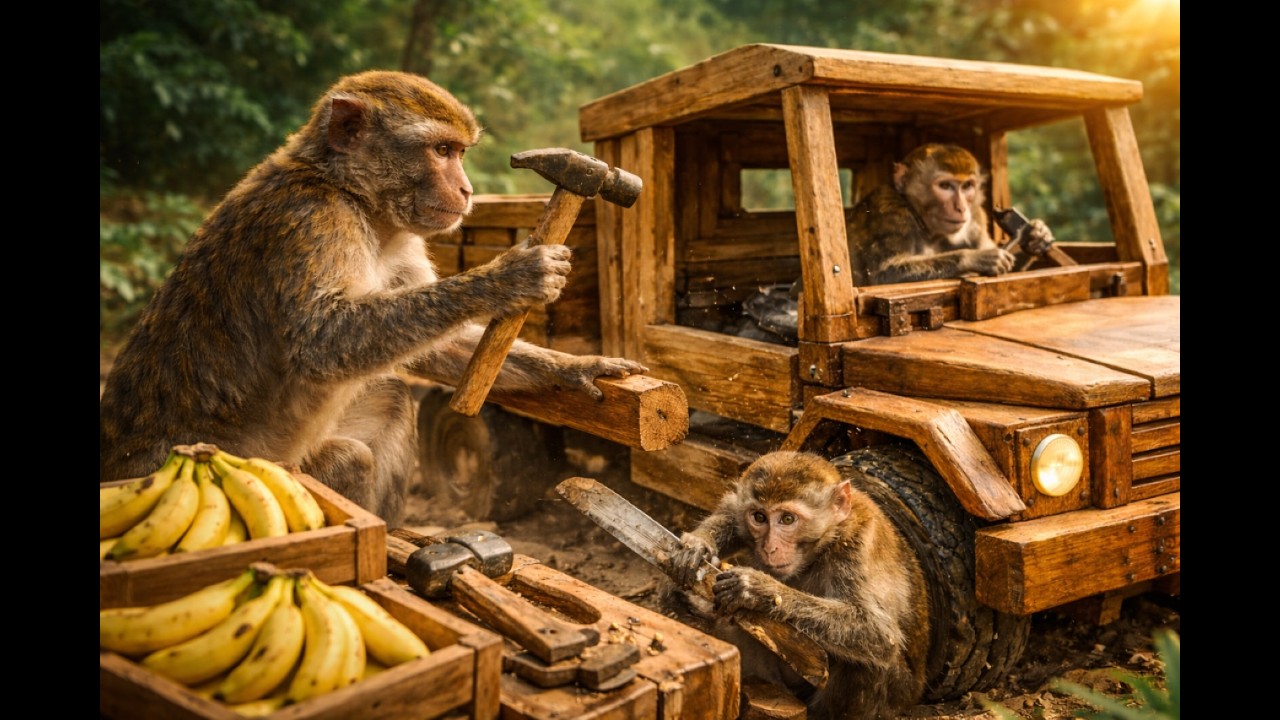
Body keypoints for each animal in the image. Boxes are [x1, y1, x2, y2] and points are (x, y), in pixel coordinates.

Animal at [99, 70, 647, 525]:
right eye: (441, 151)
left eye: (459, 153)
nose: (467, 190)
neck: (355, 197)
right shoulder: (312, 219)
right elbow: (322, 341)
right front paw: (508, 278)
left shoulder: (401, 241)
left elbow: (440, 346)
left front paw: (574, 368)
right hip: (280, 472)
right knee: (354, 455)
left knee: (392, 399)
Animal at [664, 451, 930, 720]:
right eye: (759, 517)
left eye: (788, 519)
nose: (770, 548)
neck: (824, 544)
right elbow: (731, 511)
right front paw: (698, 545)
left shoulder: (858, 548)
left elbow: (879, 634)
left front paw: (757, 590)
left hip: (897, 695)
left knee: (867, 664)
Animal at [846, 143, 1055, 286]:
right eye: (945, 186)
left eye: (967, 186)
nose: (961, 207)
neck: (925, 226)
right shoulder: (890, 212)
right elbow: (882, 274)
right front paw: (975, 258)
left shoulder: (976, 218)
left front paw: (1036, 236)